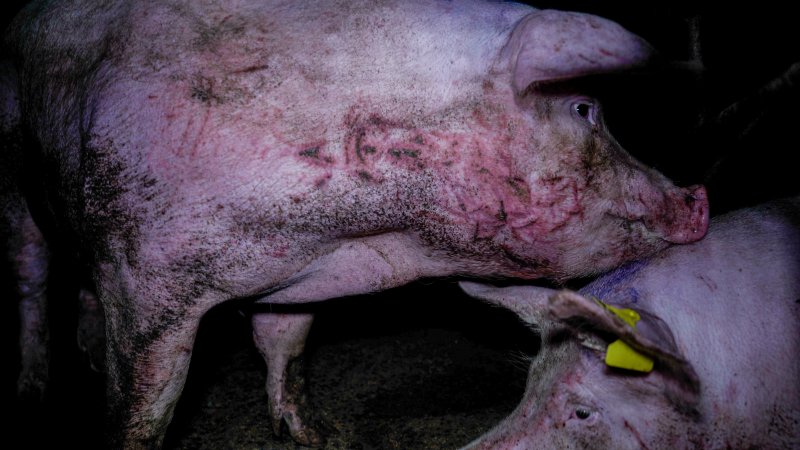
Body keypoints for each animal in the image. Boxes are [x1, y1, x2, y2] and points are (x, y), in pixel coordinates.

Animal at [3, 0, 708, 446]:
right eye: (587, 109)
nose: (698, 195)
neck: (366, 237)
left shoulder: (287, 274)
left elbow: (286, 344)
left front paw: (313, 435)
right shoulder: (143, 275)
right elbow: (147, 405)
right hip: (14, 174)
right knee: (33, 280)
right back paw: (34, 391)